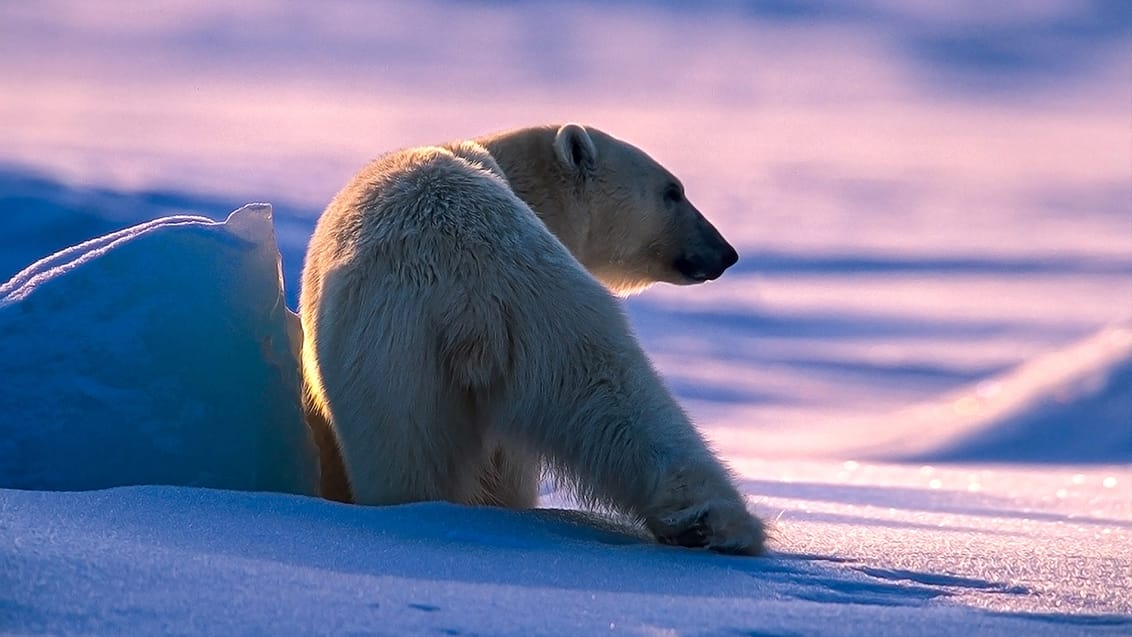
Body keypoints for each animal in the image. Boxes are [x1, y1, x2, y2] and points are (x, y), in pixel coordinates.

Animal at [301, 123, 765, 554]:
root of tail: (467, 276)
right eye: (673, 192)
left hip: (410, 353)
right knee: (615, 393)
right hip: (543, 309)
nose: (726, 253)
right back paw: (713, 525)